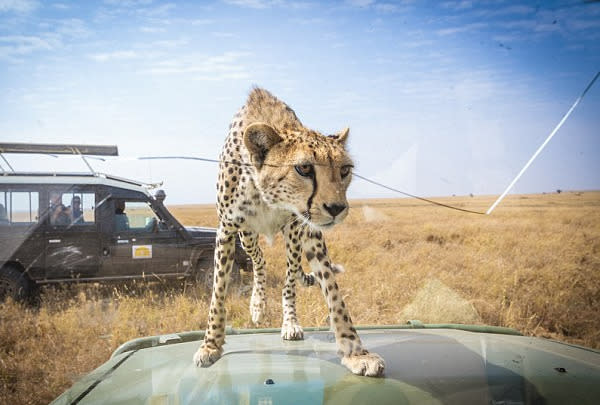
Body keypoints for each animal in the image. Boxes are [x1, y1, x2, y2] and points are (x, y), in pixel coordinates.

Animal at [195, 86, 386, 376]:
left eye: (344, 170)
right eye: (304, 168)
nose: (336, 208)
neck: (266, 195)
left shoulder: (297, 228)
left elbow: (325, 292)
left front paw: (355, 351)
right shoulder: (227, 230)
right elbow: (217, 293)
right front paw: (211, 345)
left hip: (309, 236)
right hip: (247, 235)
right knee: (259, 260)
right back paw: (257, 304)